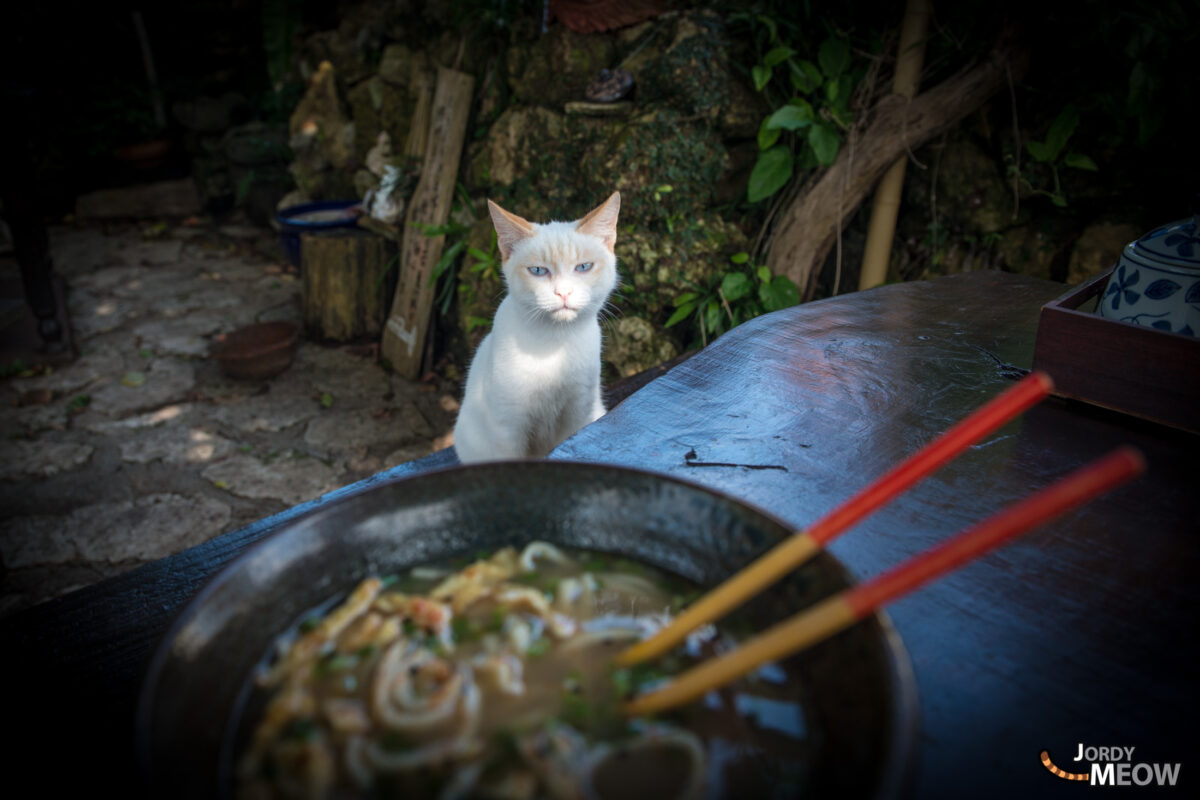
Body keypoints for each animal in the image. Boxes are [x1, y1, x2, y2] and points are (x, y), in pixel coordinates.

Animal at [451, 193, 619, 462]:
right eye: (538, 271)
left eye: (583, 267)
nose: (563, 292)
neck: (554, 342)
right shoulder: (509, 428)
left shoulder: (579, 413)